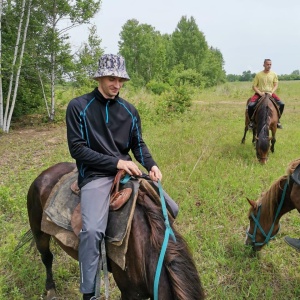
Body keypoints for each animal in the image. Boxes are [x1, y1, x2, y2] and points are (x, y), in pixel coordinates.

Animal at [22, 163, 204, 298]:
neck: (144, 249)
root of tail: (44, 174)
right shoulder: (130, 293)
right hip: (40, 234)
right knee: (47, 258)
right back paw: (51, 290)